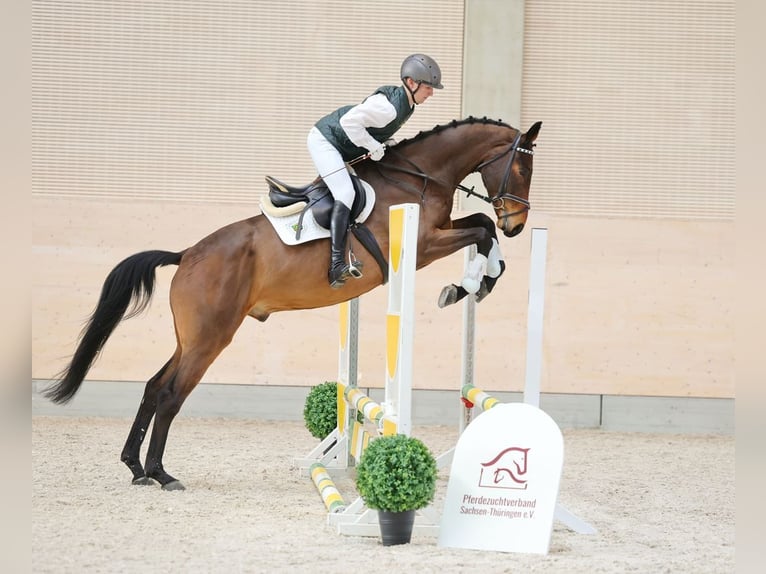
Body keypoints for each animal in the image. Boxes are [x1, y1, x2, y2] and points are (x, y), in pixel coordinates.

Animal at [43, 117, 542, 490]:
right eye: (521, 168)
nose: (518, 224)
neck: (418, 176)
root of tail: (187, 254)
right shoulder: (421, 247)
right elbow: (481, 230)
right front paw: (468, 284)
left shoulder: (438, 233)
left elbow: (481, 226)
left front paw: (477, 280)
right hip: (210, 338)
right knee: (169, 395)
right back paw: (161, 474)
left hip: (191, 338)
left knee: (152, 387)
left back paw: (135, 468)